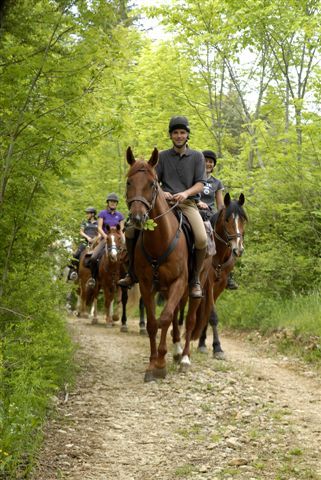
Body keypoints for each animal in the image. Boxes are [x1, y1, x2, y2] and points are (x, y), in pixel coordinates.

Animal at [125, 147, 212, 382]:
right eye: (129, 182)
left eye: (152, 184)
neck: (160, 240)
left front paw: (161, 364)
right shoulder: (147, 285)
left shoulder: (178, 282)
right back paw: (176, 351)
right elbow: (153, 323)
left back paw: (184, 358)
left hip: (195, 285)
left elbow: (164, 318)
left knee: (189, 320)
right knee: (175, 317)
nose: (137, 218)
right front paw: (151, 365)